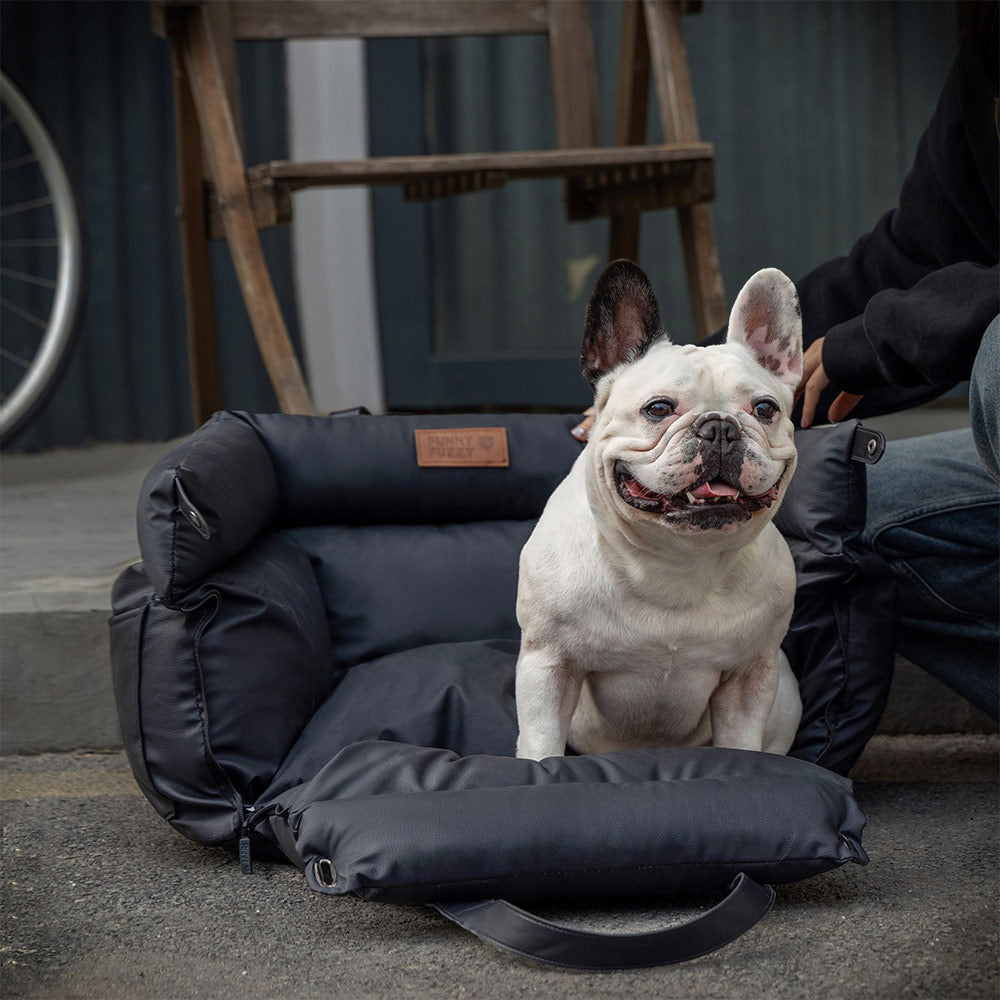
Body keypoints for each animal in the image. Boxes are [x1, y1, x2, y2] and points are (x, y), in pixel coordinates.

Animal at [516, 262, 804, 760]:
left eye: (765, 408)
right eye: (658, 408)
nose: (720, 427)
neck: (675, 559)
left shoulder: (750, 676)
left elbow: (743, 744)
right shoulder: (547, 666)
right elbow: (541, 744)